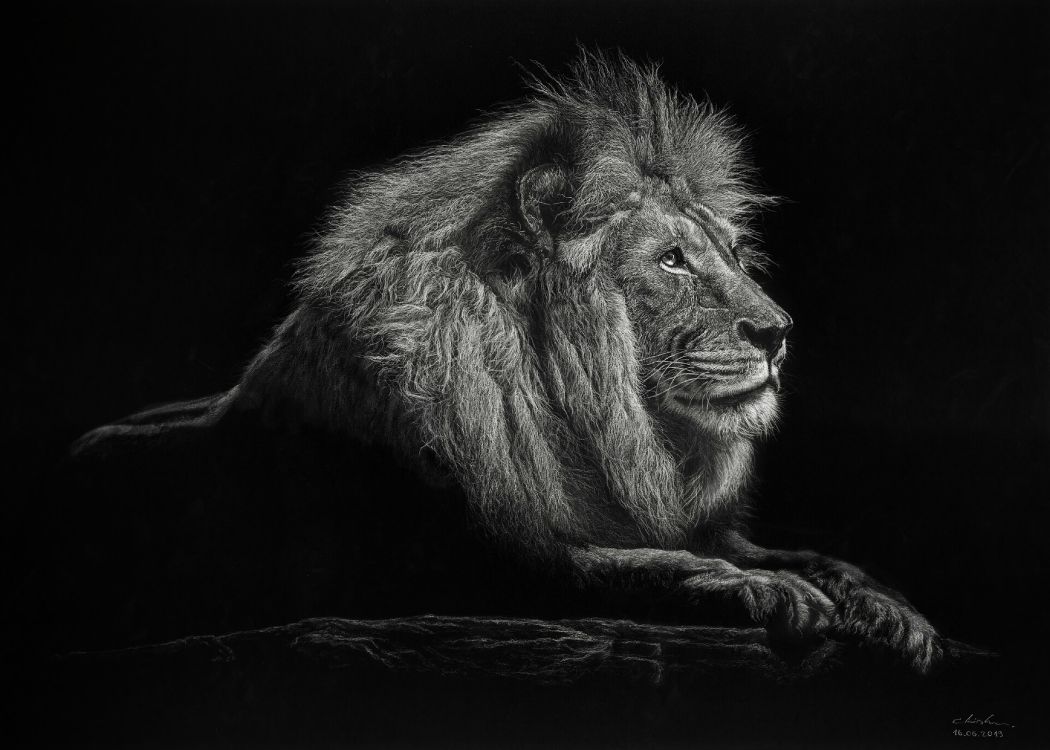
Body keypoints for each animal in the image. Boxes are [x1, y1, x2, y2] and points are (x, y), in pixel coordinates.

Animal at [72, 51, 941, 671]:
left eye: (730, 251)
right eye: (671, 262)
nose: (778, 331)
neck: (595, 425)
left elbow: (809, 554)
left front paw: (893, 610)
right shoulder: (479, 565)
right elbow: (640, 569)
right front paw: (764, 590)